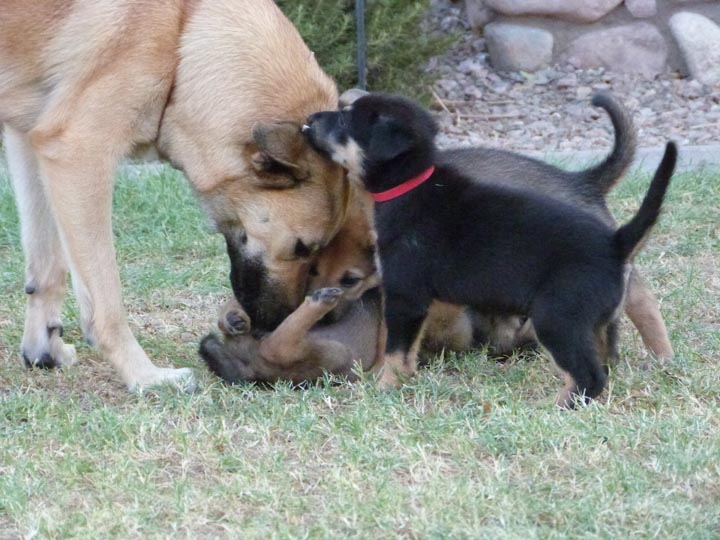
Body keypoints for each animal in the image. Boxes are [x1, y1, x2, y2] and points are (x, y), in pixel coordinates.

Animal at [0, 0, 348, 388]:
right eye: (301, 247)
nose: (273, 325)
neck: (183, 32)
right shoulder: (79, 153)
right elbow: (106, 298)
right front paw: (144, 376)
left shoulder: (29, 139)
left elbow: (46, 266)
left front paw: (44, 350)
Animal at [306, 95, 676, 408]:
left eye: (344, 119)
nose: (309, 120)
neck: (411, 184)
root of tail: (616, 243)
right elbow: (408, 349)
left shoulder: (404, 294)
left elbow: (395, 350)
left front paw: (384, 387)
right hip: (593, 322)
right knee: (607, 359)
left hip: (556, 318)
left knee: (592, 373)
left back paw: (557, 406)